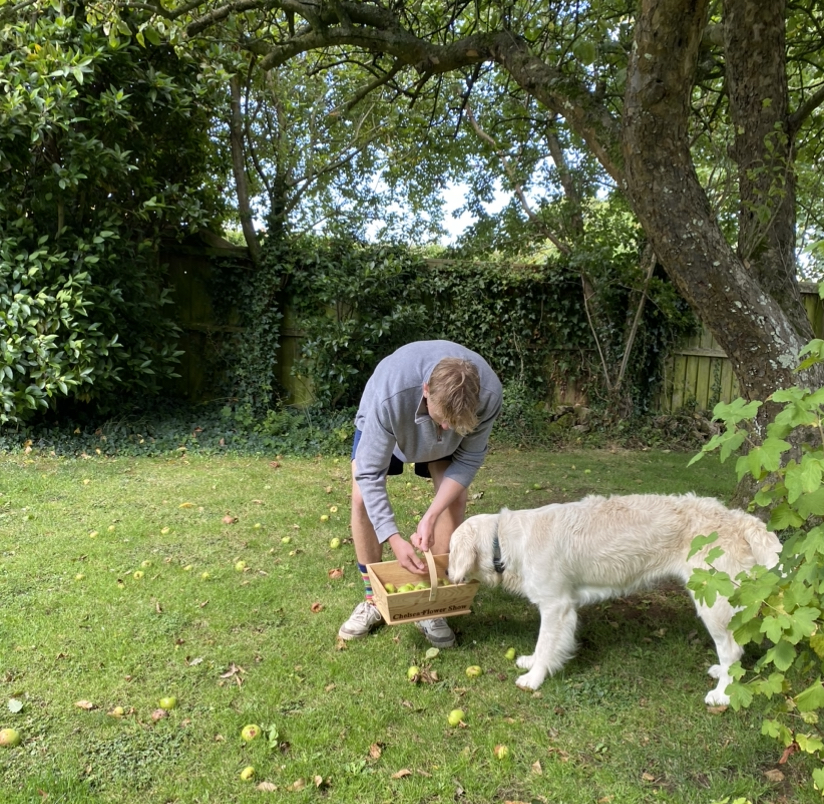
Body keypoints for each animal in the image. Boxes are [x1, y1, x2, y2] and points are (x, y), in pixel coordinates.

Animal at [447, 493, 781, 705]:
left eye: (450, 552)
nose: (448, 575)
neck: (502, 542)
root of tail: (738, 518)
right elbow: (545, 646)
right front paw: (531, 661)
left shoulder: (557, 606)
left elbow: (545, 645)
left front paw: (534, 678)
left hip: (711, 602)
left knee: (732, 650)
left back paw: (722, 694)